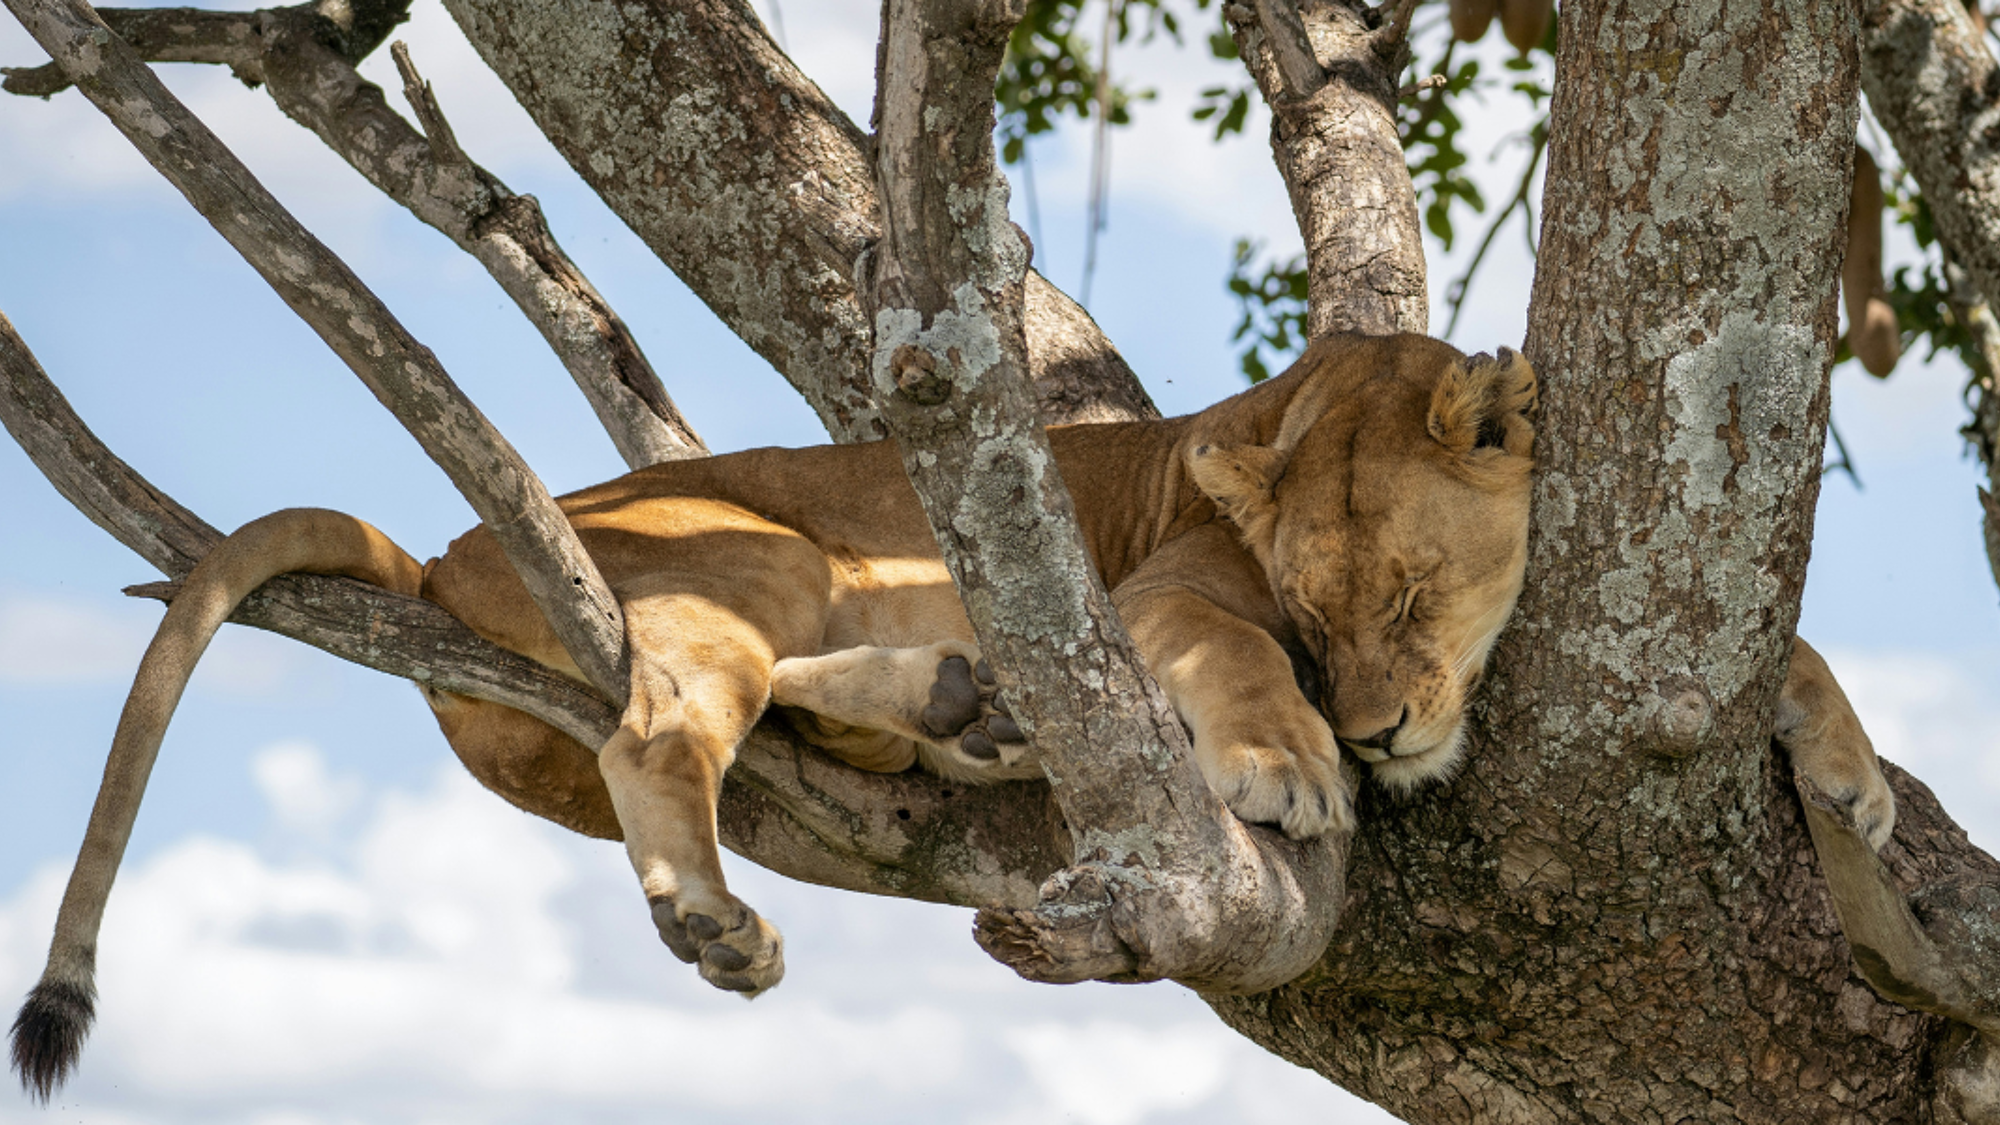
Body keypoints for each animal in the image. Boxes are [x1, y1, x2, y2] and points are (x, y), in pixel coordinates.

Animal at [9, 333, 1895, 1099]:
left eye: (1418, 598)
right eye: (1316, 614)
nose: (1373, 734)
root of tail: (452, 541)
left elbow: (1794, 653)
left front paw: (1857, 780)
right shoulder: (1163, 598)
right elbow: (1231, 665)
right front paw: (1288, 770)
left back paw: (962, 711)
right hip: (751, 551)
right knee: (662, 726)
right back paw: (736, 899)